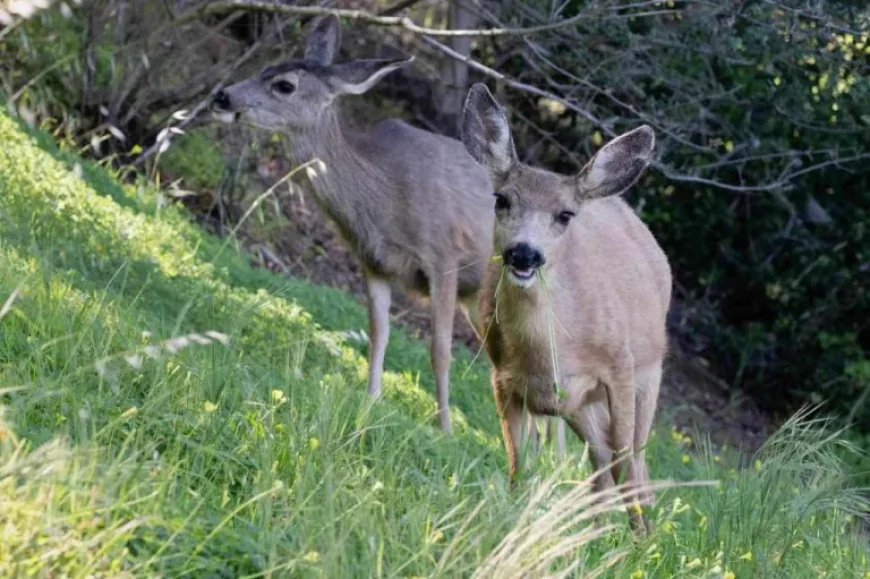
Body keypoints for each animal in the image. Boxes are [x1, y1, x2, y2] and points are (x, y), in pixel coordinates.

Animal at [460, 83, 672, 533]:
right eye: (501, 199)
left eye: (564, 215)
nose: (524, 253)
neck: (550, 350)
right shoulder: (503, 377)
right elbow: (518, 465)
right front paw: (517, 525)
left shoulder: (620, 367)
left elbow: (628, 463)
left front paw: (639, 544)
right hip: (580, 405)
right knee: (602, 460)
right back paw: (594, 531)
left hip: (650, 372)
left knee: (635, 463)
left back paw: (637, 530)